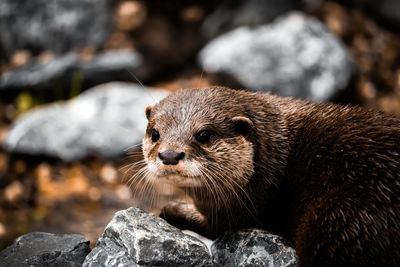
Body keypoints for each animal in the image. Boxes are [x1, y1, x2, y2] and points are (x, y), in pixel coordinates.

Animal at [139, 87, 398, 266]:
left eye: (203, 134)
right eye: (155, 133)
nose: (170, 154)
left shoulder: (240, 209)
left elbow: (208, 224)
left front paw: (173, 208)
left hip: (340, 219)